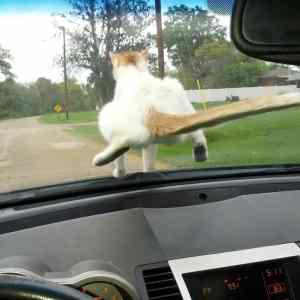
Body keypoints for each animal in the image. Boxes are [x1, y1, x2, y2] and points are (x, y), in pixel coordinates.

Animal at [94, 48, 209, 177]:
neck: (134, 72)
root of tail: (152, 107)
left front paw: (120, 172)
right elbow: (149, 163)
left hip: (109, 115)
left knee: (121, 144)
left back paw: (102, 160)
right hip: (182, 100)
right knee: (198, 133)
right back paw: (200, 152)